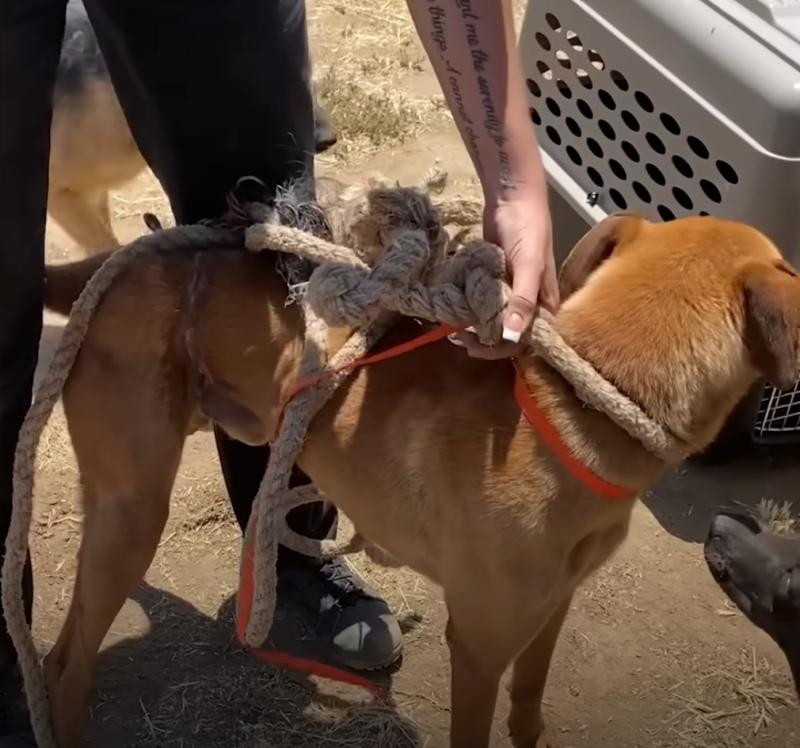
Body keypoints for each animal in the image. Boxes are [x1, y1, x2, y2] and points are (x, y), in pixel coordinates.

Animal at [40, 212, 800, 748]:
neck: (574, 404)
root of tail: (116, 261)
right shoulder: (479, 647)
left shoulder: (552, 610)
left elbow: (530, 700)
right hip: (135, 511)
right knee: (69, 663)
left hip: (114, 511)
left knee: (59, 651)